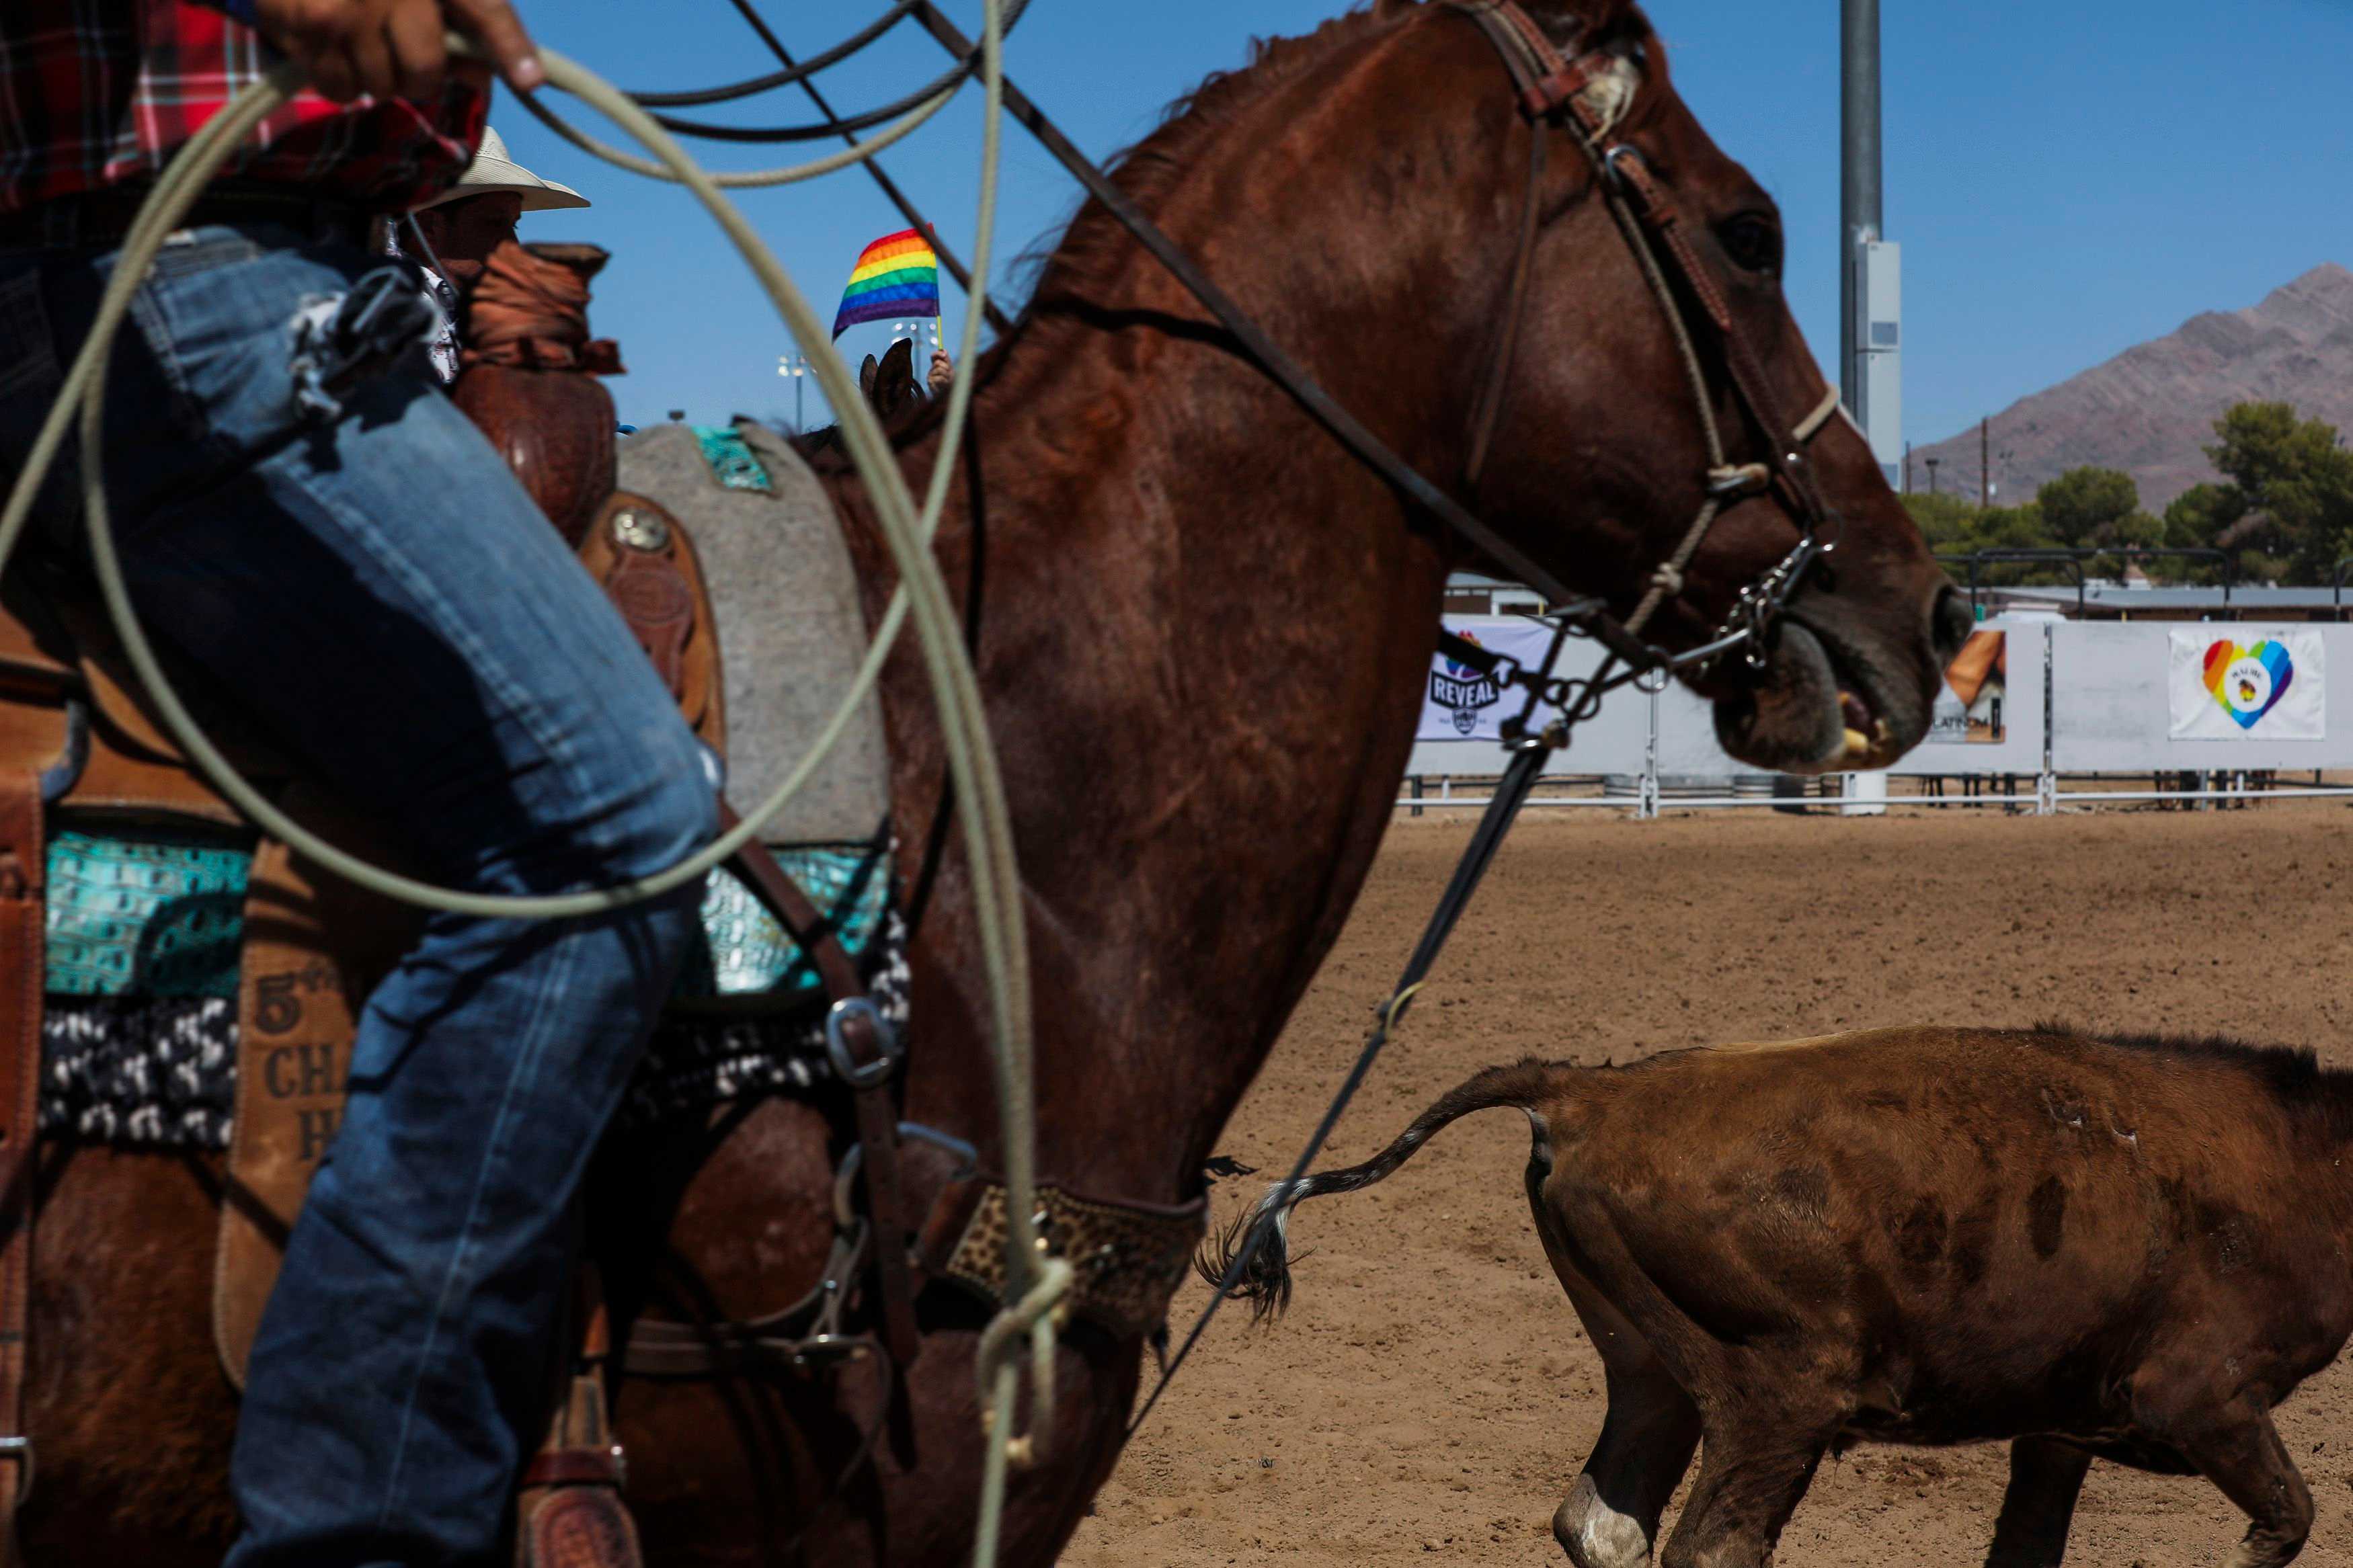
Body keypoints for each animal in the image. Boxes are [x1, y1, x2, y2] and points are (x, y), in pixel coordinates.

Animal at [1214, 1030, 2353, 1568]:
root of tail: (1594, 1089)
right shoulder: (2203, 1397)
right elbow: (2287, 1517)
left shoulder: (2058, 1428)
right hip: (1777, 1396)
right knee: (1712, 1545)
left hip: (1650, 1373)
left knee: (1604, 1524)